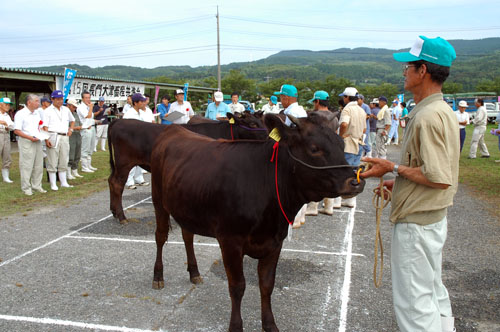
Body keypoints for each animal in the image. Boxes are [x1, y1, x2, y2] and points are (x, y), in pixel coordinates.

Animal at [148, 113, 364, 330]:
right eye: (314, 148)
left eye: (341, 144)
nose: (355, 181)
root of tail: (174, 129)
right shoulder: (230, 241)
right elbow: (237, 286)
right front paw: (236, 326)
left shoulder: (275, 241)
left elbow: (267, 284)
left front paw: (270, 324)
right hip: (158, 200)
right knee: (160, 237)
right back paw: (158, 277)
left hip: (186, 205)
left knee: (187, 236)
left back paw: (194, 272)